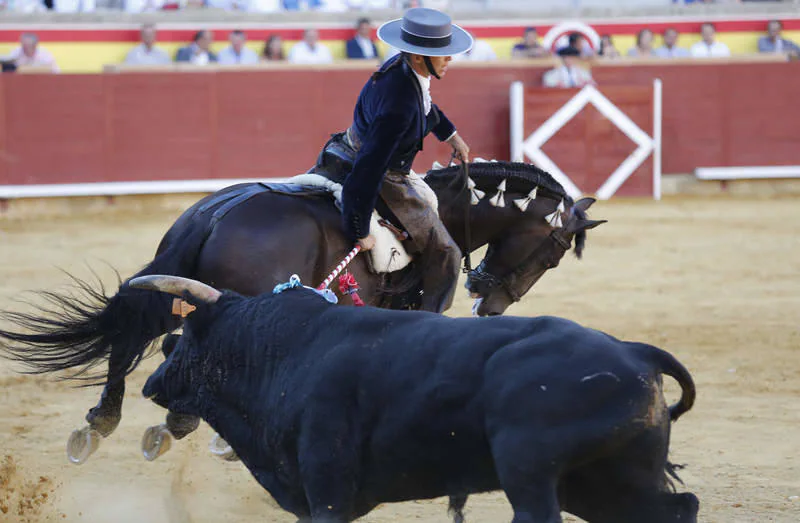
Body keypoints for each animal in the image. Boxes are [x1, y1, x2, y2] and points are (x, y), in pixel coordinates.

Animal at [0, 161, 604, 470]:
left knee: (131, 342)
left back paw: (103, 426)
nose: (490, 303)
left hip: (172, 283)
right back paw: (172, 425)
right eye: (552, 254)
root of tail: (214, 216)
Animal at [134, 274, 696, 523]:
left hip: (529, 468)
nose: (150, 383)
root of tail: (635, 351)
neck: (282, 351)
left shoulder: (327, 486)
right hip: (606, 479)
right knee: (675, 508)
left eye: (180, 339)